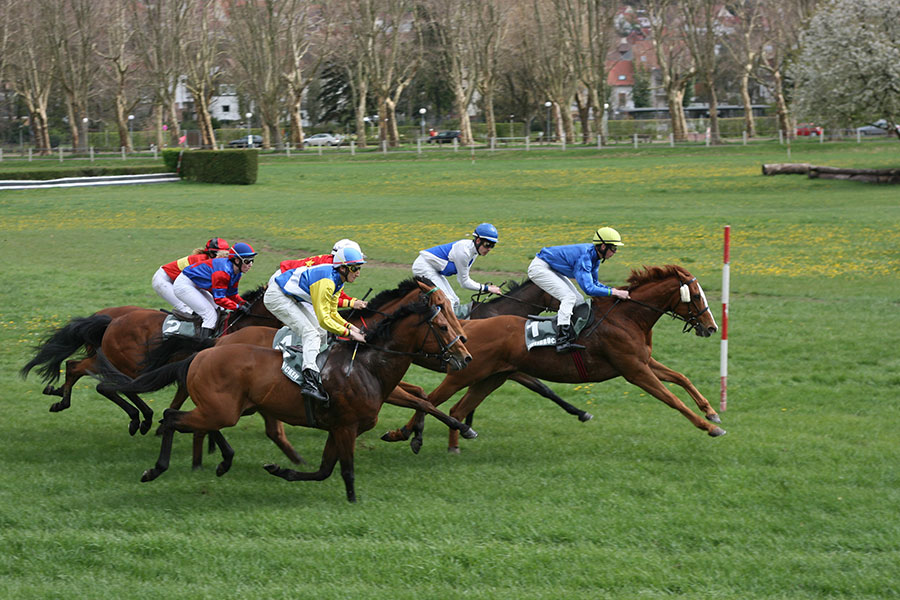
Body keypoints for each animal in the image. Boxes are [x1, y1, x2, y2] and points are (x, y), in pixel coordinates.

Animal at [20, 284, 278, 434]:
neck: (239, 325)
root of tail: (111, 320)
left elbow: (177, 402)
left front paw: (165, 424)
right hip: (128, 362)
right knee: (112, 383)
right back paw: (138, 418)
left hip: (110, 360)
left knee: (76, 366)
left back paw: (61, 398)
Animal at [108, 278, 474, 502]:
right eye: (443, 321)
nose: (465, 353)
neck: (367, 359)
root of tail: (208, 348)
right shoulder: (347, 425)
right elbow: (346, 467)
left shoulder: (345, 423)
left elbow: (422, 400)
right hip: (225, 409)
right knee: (175, 417)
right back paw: (161, 464)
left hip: (233, 407)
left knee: (194, 420)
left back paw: (223, 459)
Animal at [386, 264, 724, 452]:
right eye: (695, 296)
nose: (711, 327)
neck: (627, 317)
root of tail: (469, 327)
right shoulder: (634, 370)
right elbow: (672, 399)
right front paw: (710, 427)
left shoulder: (645, 362)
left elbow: (681, 378)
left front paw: (712, 412)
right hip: (465, 373)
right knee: (429, 399)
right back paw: (403, 433)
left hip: (491, 378)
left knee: (454, 407)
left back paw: (451, 442)